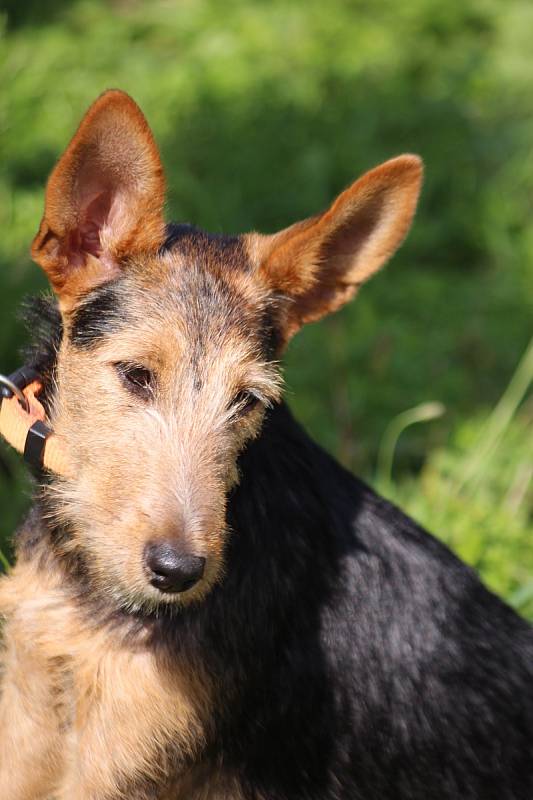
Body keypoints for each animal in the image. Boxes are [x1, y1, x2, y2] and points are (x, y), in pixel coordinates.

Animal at [0, 90, 528, 796]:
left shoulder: (124, 752)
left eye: (248, 400)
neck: (88, 590)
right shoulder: (32, 703)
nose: (177, 571)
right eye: (135, 374)